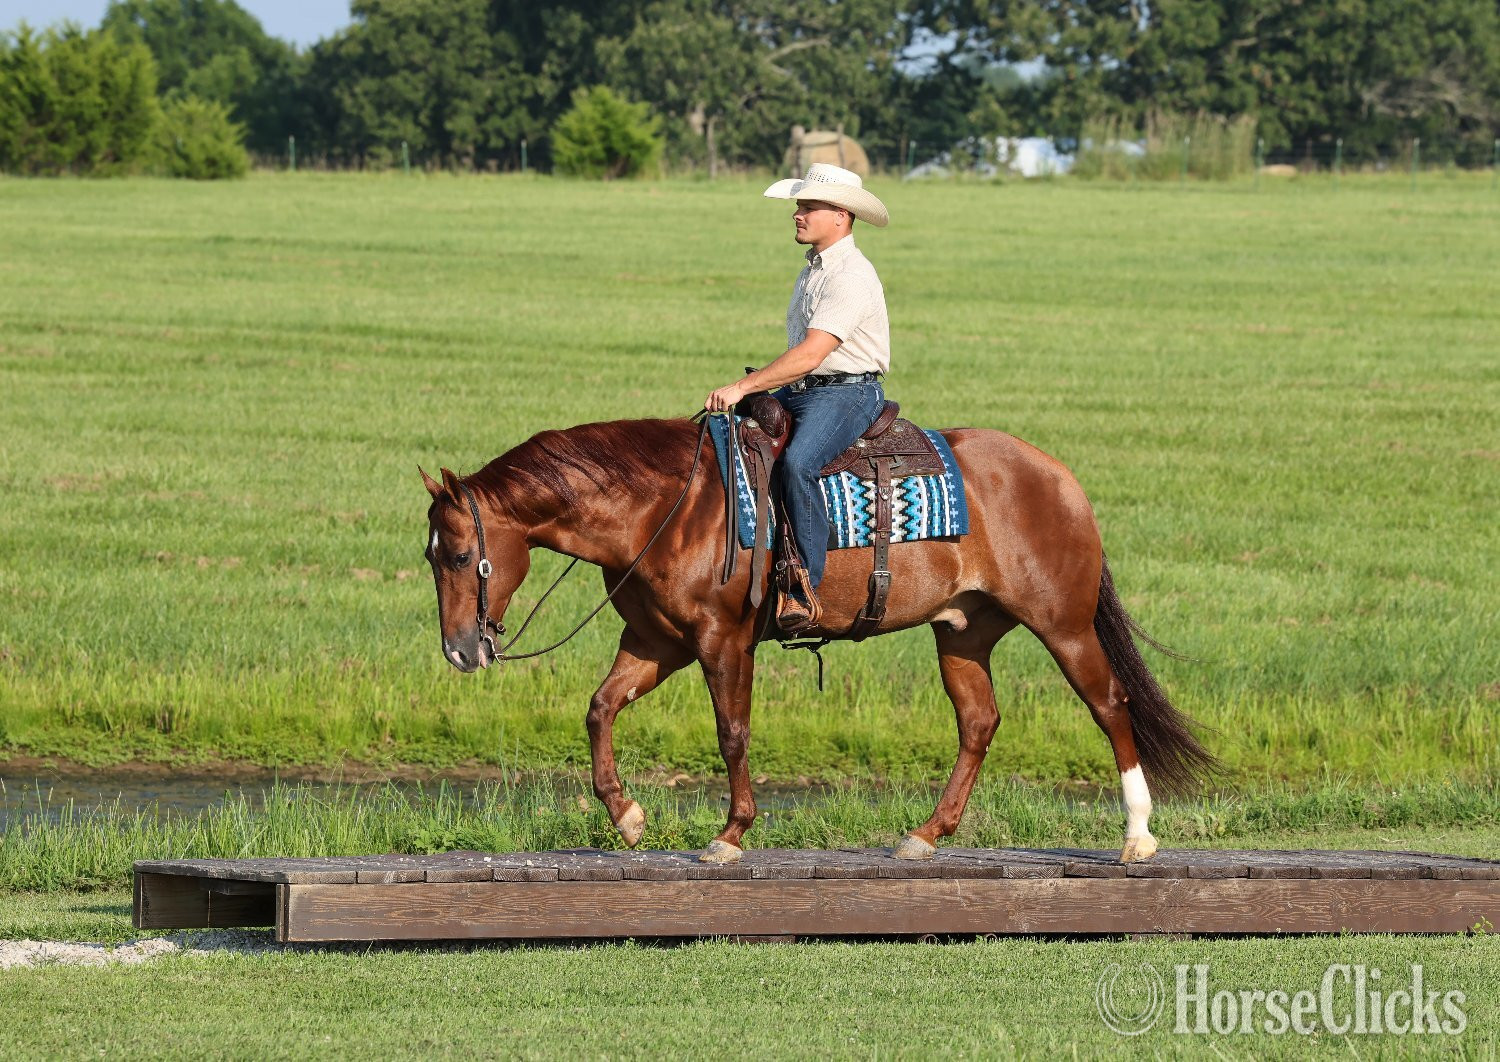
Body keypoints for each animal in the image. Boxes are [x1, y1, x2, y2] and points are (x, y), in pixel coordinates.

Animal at [420, 417, 1215, 865]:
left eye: (458, 555)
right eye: (432, 557)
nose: (459, 650)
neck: (669, 507)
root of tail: (1058, 475)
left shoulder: (721, 641)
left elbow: (732, 733)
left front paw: (729, 835)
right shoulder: (656, 641)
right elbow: (599, 708)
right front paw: (629, 818)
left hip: (1064, 625)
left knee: (1110, 704)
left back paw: (1137, 835)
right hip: (964, 632)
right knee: (979, 723)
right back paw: (927, 833)